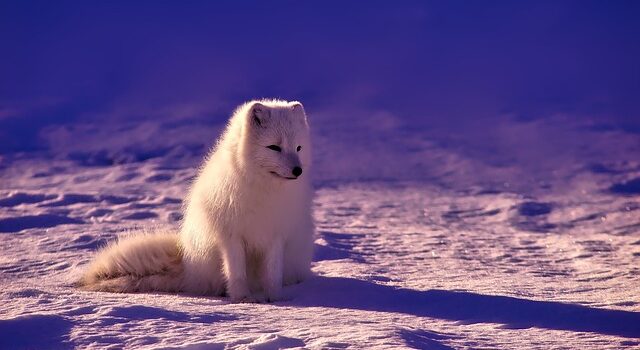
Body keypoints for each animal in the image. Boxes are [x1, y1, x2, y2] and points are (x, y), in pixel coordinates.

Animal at [80, 98, 316, 300]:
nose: (298, 170)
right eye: (274, 147)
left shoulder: (276, 235)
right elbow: (236, 272)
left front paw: (275, 299)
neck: (264, 190)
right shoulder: (231, 236)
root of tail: (187, 266)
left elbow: (273, 274)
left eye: (298, 148)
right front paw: (243, 298)